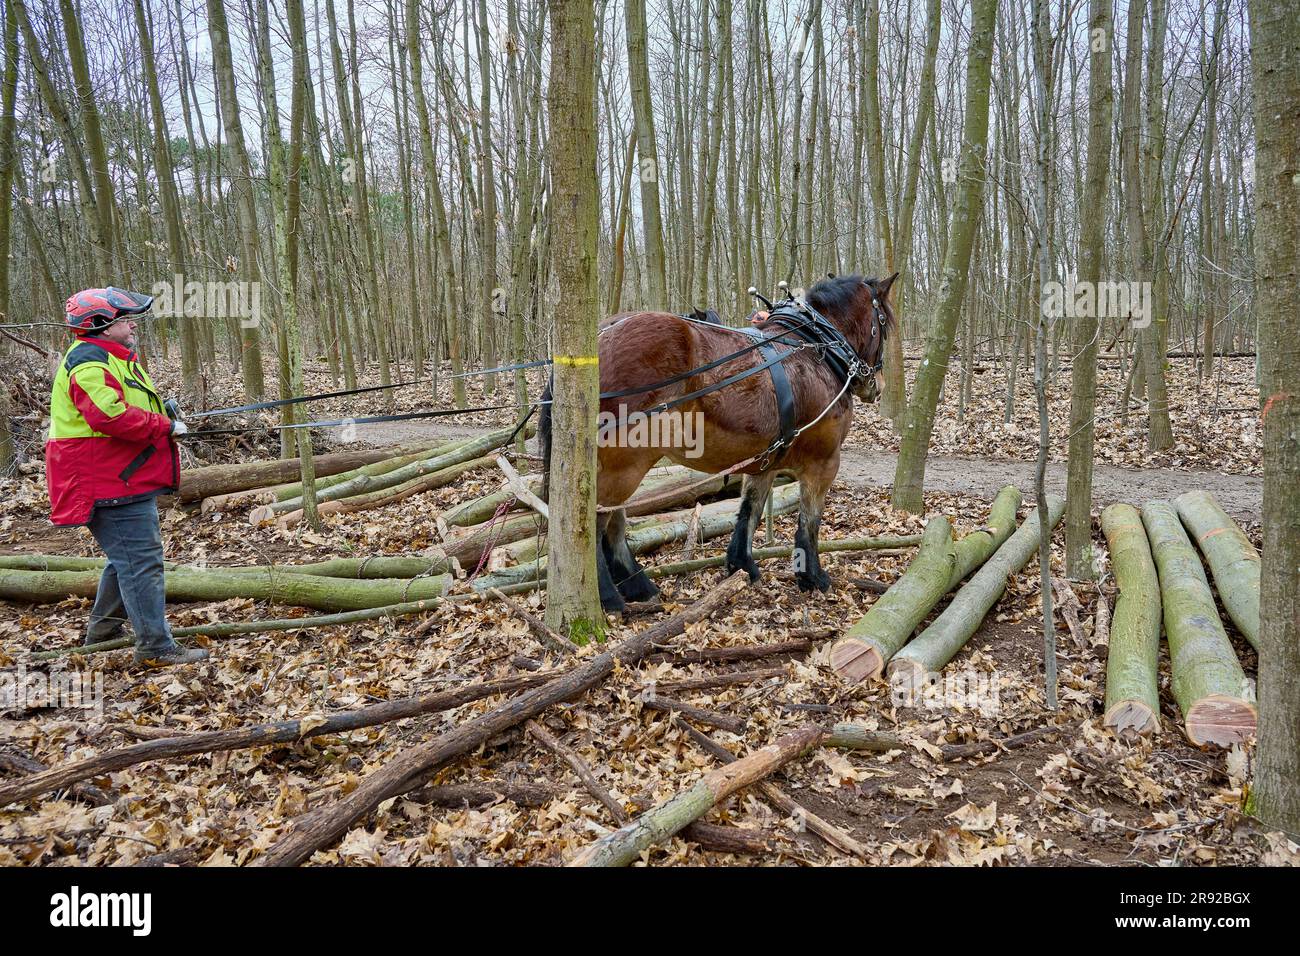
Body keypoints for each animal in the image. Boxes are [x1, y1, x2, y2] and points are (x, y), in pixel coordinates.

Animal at [540, 272, 897, 612]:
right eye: (883, 324)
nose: (877, 385)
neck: (815, 350)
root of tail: (602, 334)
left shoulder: (765, 461)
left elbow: (750, 510)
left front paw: (742, 565)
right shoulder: (824, 462)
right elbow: (809, 521)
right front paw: (813, 577)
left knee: (614, 520)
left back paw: (638, 586)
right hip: (624, 463)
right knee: (594, 522)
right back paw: (608, 596)